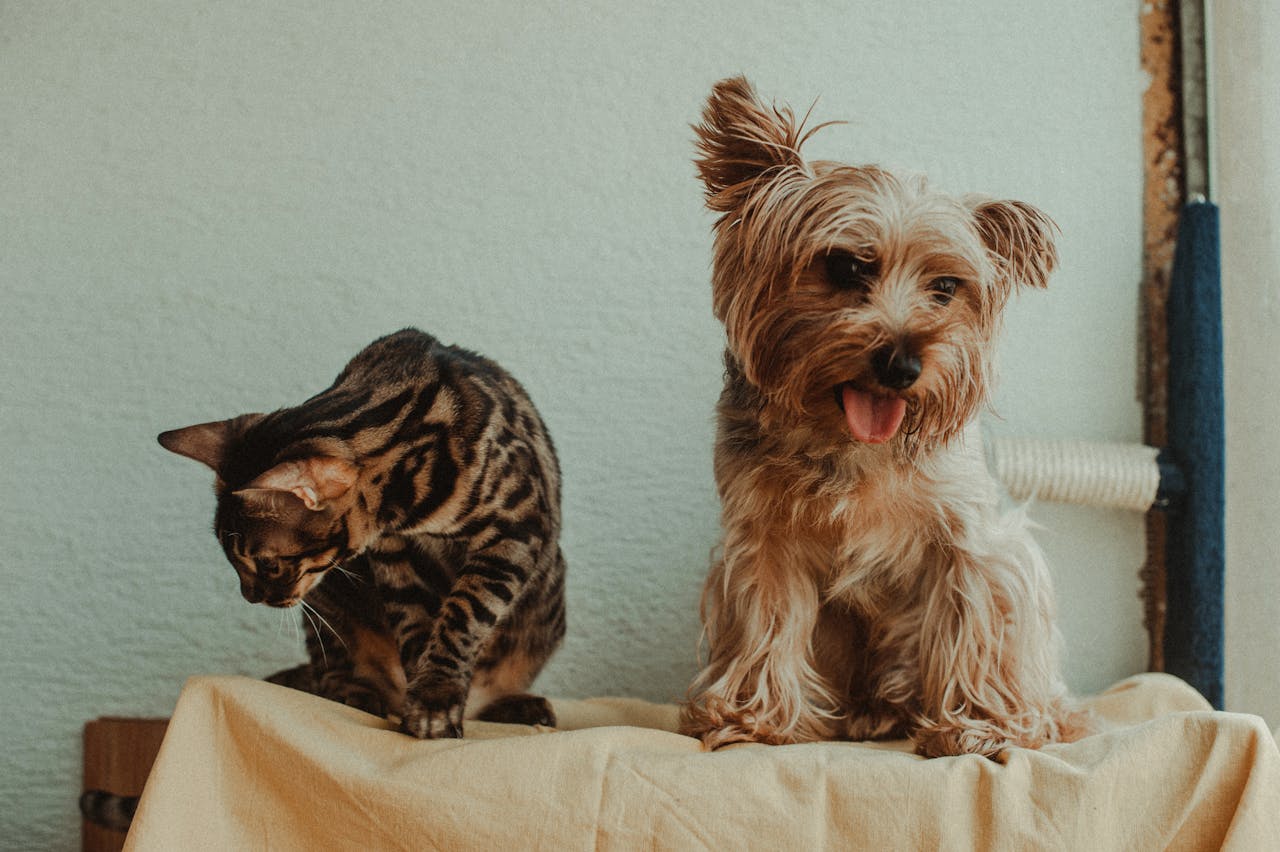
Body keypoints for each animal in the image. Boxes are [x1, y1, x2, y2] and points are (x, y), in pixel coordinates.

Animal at [675, 76, 1085, 752]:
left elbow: (974, 620)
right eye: (846, 266)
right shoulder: (763, 538)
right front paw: (755, 720)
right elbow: (767, 622)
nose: (903, 364)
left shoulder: (968, 539)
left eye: (945, 288)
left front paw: (979, 725)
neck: (849, 440)